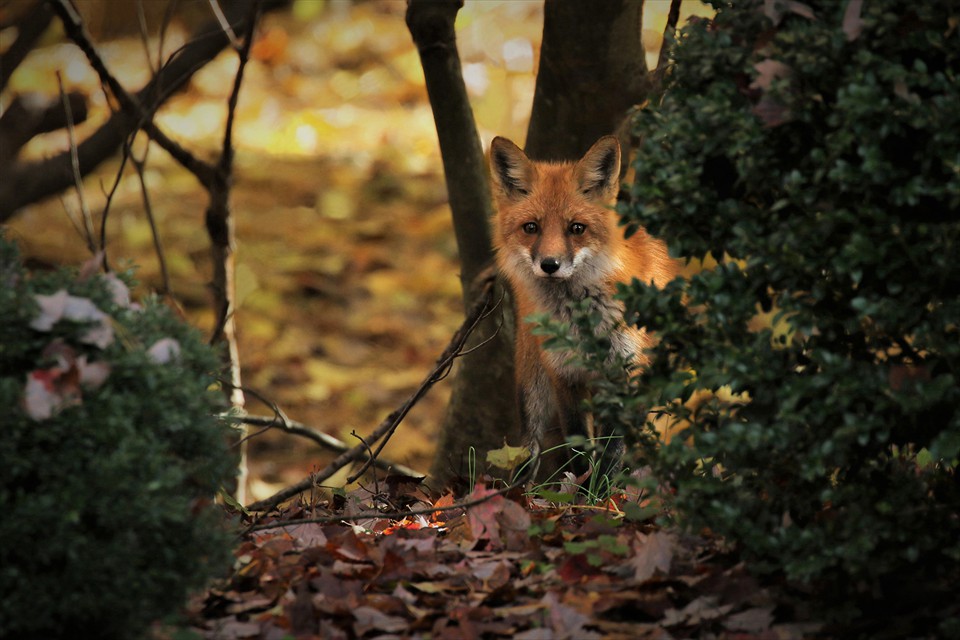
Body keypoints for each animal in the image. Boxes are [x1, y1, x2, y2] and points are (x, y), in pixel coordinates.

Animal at [492, 138, 680, 482]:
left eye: (576, 228)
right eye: (531, 227)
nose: (549, 265)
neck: (582, 323)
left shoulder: (626, 374)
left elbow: (611, 451)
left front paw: (602, 491)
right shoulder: (564, 374)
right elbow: (578, 447)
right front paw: (580, 489)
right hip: (532, 385)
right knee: (530, 446)